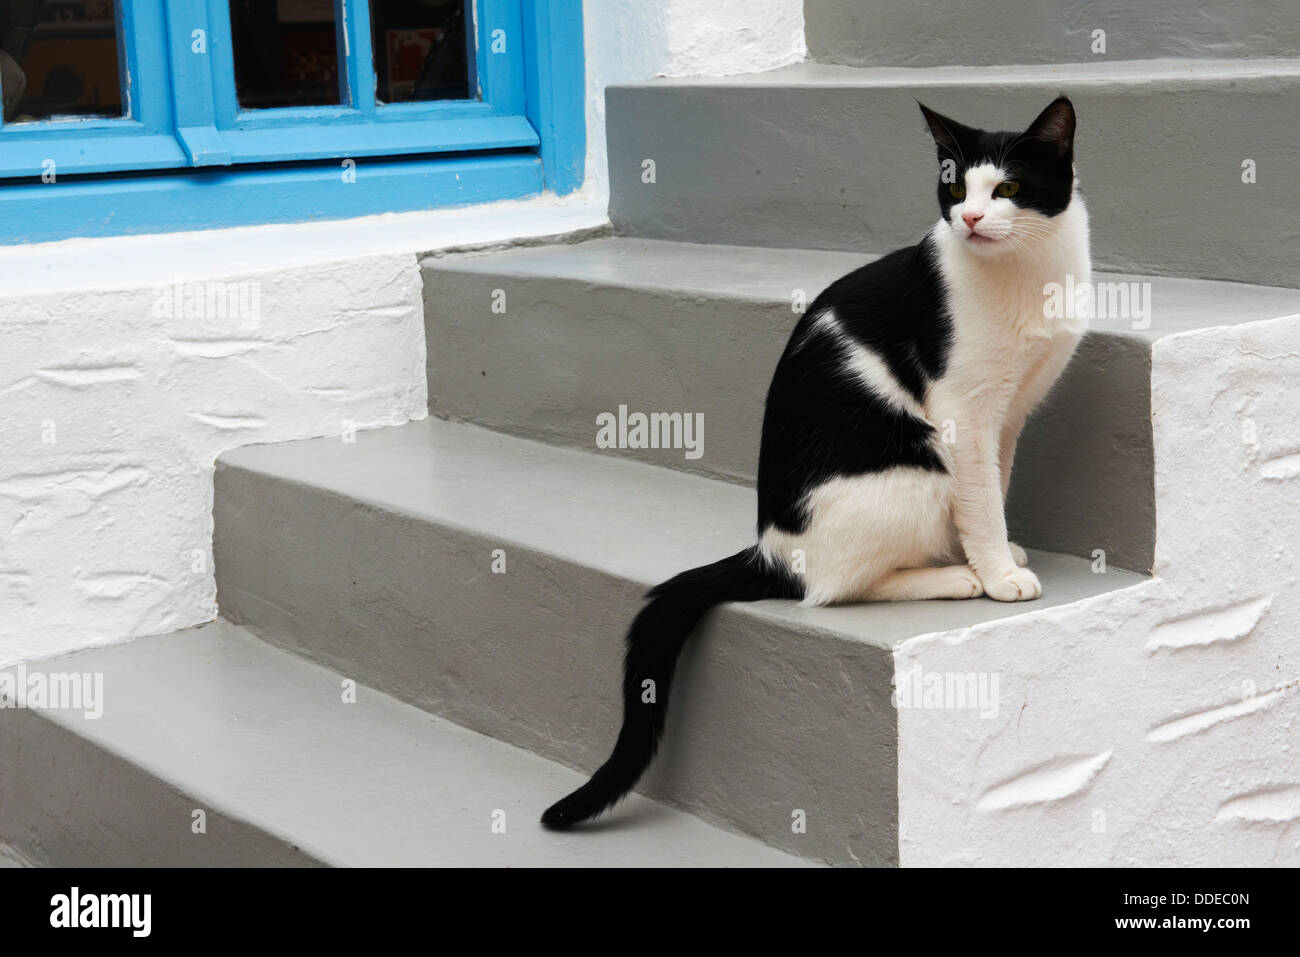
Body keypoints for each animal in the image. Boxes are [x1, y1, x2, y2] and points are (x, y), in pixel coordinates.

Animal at [543, 95, 1092, 832]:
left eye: (1005, 188)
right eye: (954, 189)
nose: (972, 220)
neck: (1026, 270)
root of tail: (768, 548)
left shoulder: (1009, 415)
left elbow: (996, 488)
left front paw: (1000, 553)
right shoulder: (962, 416)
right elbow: (979, 501)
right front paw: (995, 572)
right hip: (918, 467)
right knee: (831, 588)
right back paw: (950, 578)